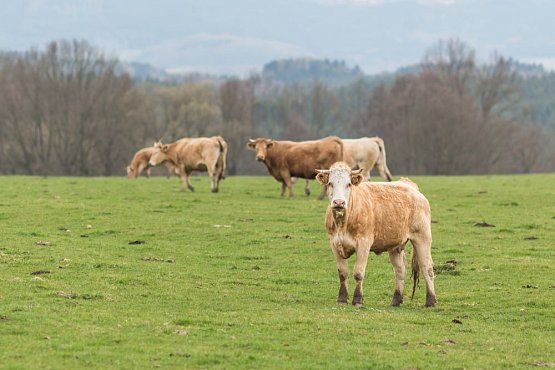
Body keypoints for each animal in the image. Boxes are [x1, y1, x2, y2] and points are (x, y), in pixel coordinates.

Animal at [314, 161, 436, 306]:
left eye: (348, 184)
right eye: (330, 183)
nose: (339, 202)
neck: (342, 223)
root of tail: (409, 185)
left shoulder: (364, 244)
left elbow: (358, 273)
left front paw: (357, 299)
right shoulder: (334, 243)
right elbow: (342, 273)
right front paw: (342, 298)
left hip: (422, 237)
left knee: (427, 268)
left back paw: (431, 301)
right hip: (395, 246)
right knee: (400, 270)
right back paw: (396, 300)